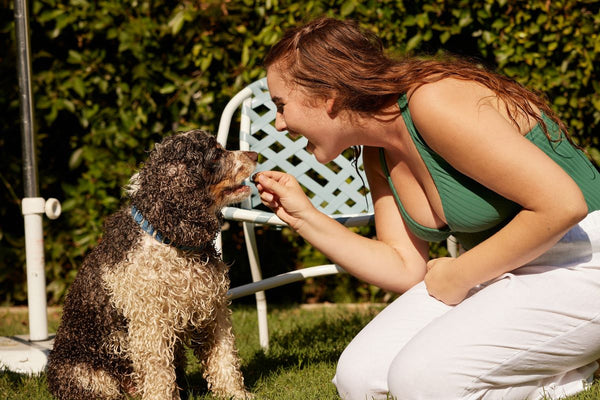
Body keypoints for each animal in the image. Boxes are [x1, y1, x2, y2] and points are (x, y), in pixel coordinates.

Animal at [46, 131, 253, 400]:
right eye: (216, 154)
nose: (254, 154)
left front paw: (234, 392)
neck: (169, 238)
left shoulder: (212, 309)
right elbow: (159, 371)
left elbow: (224, 356)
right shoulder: (150, 322)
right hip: (88, 377)